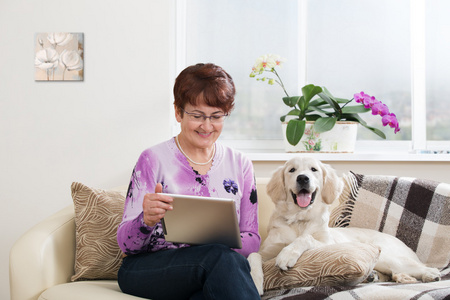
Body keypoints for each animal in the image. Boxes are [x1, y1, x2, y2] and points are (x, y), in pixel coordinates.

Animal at [248, 157, 442, 296]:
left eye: (313, 169)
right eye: (292, 170)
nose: (303, 178)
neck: (300, 219)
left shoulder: (327, 244)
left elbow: (306, 238)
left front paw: (288, 254)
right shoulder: (267, 250)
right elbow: (252, 255)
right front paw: (255, 280)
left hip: (388, 256)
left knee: (422, 267)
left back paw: (430, 275)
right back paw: (373, 276)